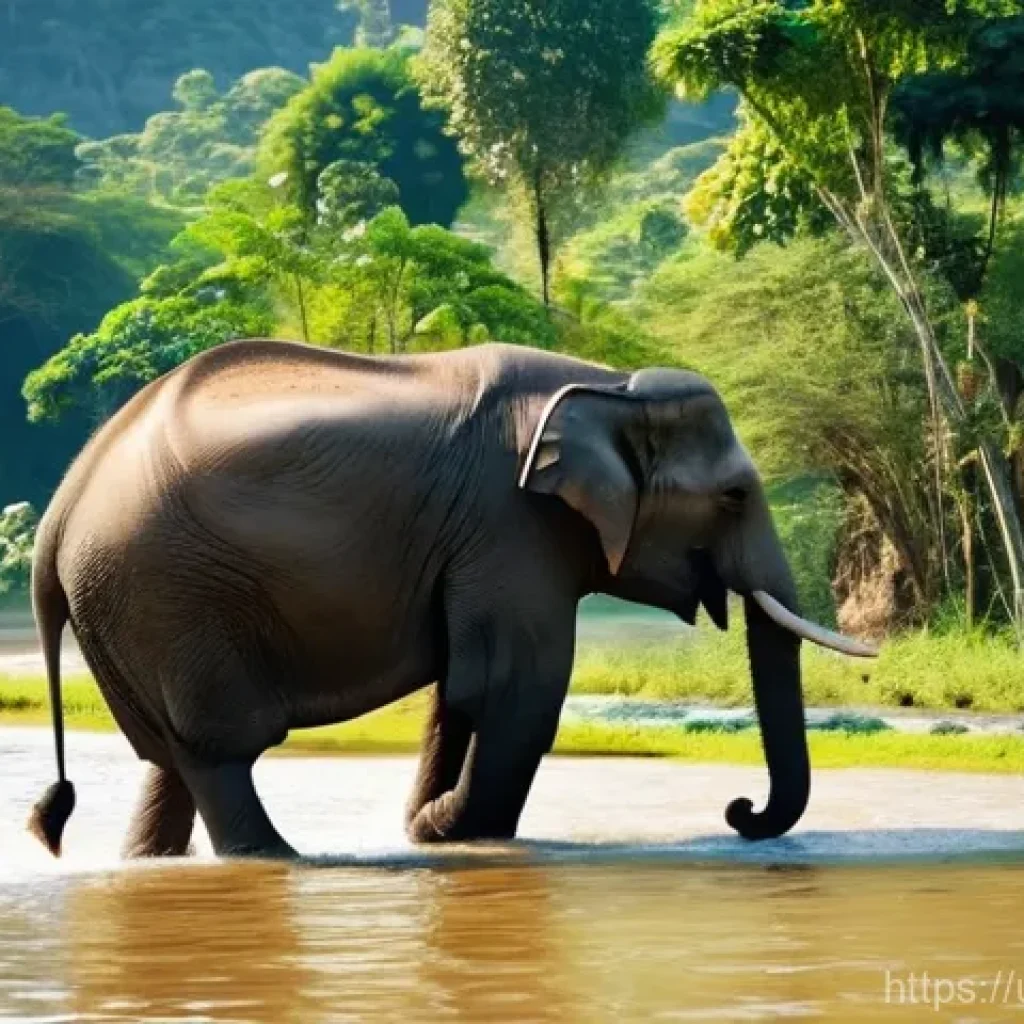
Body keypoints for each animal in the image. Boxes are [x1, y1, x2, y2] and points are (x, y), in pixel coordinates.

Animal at [26, 340, 874, 860]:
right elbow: (512, 690)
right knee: (218, 747)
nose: (739, 812)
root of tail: (58, 513)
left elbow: (461, 694)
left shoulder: (488, 541)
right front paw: (446, 833)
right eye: (733, 497)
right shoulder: (513, 525)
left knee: (170, 754)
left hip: (129, 609)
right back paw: (282, 860)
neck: (608, 385)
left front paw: (429, 828)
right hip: (169, 598)